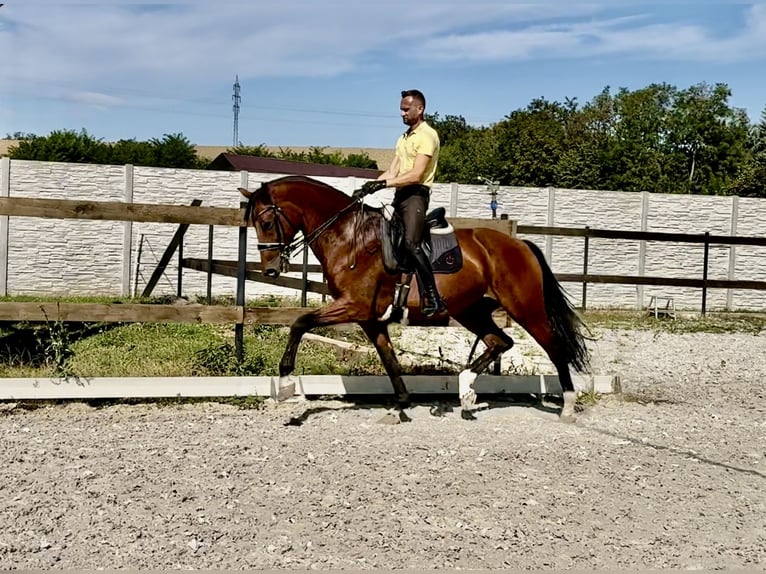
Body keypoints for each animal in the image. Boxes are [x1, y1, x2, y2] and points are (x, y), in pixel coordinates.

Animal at [240, 176, 592, 424]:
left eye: (267, 222)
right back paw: (466, 391)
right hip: (471, 310)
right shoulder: (370, 318)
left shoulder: (353, 305)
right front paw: (401, 405)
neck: (348, 238)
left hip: (526, 308)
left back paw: (567, 406)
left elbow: (300, 322)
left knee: (554, 347)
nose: (270, 269)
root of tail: (519, 244)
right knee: (500, 341)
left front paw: (286, 383)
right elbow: (390, 360)